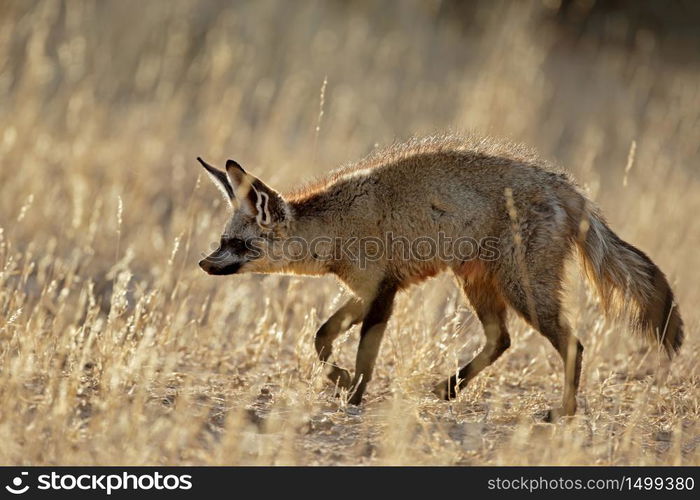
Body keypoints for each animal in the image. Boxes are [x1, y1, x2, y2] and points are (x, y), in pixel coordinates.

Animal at [197, 135, 684, 420]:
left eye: (237, 244)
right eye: (222, 240)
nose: (203, 263)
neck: (336, 223)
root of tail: (567, 187)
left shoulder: (381, 293)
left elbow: (363, 357)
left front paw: (353, 396)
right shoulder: (366, 290)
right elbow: (320, 337)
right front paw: (338, 379)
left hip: (523, 292)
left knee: (572, 345)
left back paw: (562, 412)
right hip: (479, 284)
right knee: (501, 340)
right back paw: (449, 388)